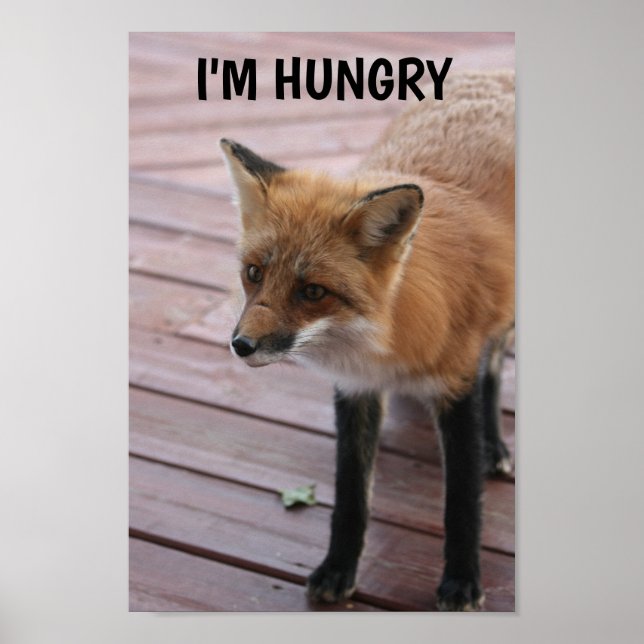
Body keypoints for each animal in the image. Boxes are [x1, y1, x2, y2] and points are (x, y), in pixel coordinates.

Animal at [219, 69, 515, 611]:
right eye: (254, 274)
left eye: (313, 291)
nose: (241, 345)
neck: (381, 343)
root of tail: (494, 75)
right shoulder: (356, 390)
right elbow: (351, 497)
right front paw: (339, 568)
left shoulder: (454, 384)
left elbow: (461, 502)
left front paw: (462, 580)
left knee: (496, 363)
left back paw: (494, 443)